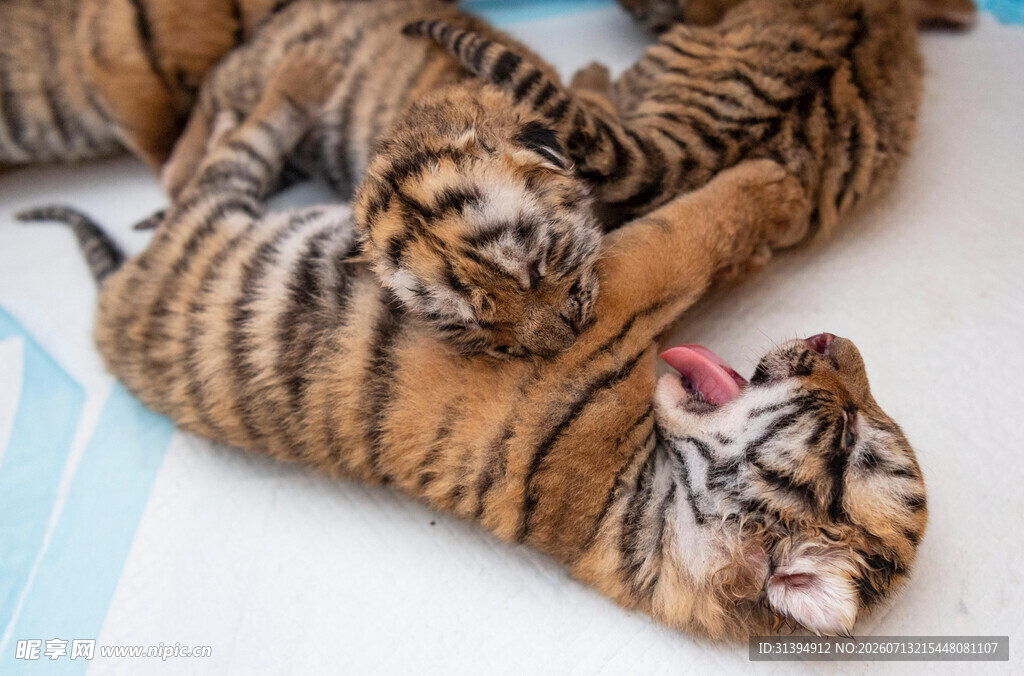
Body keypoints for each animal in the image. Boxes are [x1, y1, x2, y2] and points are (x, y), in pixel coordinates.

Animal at [20, 50, 927, 639]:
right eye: (857, 429)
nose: (838, 342)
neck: (650, 509)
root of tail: (114, 297)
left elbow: (694, 226)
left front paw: (776, 186)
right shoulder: (623, 291)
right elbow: (691, 229)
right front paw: (778, 183)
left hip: (217, 206)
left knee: (222, 152)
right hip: (219, 204)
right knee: (221, 149)